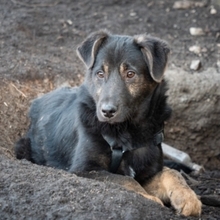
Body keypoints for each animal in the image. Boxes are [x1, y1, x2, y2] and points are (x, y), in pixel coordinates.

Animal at [14, 30, 202, 217]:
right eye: (100, 74)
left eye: (130, 74)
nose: (107, 111)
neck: (127, 132)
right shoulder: (84, 170)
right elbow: (125, 180)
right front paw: (151, 199)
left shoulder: (148, 172)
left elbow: (171, 173)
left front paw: (188, 197)